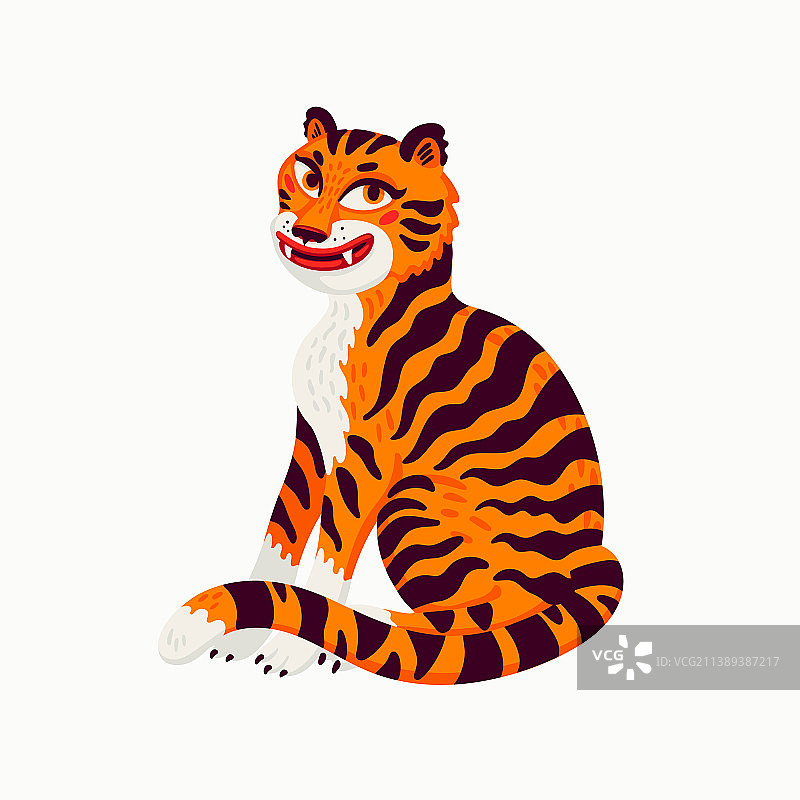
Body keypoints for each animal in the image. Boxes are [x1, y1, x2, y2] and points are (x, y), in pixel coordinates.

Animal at [158, 107, 623, 684]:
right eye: (309, 178)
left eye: (369, 194)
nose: (308, 231)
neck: (349, 315)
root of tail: (592, 562)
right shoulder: (311, 439)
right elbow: (281, 532)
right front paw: (252, 632)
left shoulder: (367, 458)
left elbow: (330, 554)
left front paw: (294, 641)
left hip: (411, 499)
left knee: (472, 621)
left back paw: (350, 630)